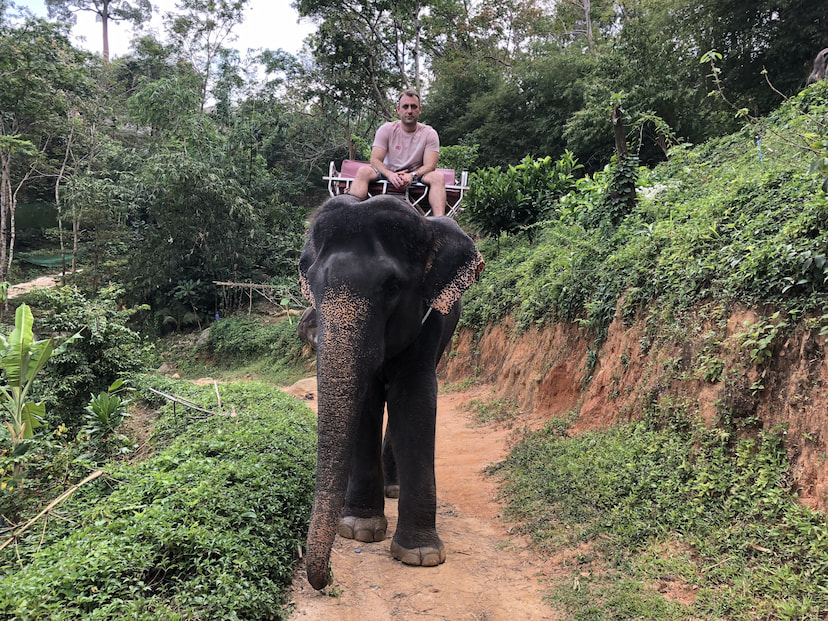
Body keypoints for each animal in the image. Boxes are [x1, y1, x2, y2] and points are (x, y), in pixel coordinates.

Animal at [298, 194, 483, 591]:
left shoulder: (430, 318)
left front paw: (420, 555)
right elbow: (366, 401)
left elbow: (414, 399)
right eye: (313, 285)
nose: (327, 579)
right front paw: (359, 530)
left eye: (392, 286)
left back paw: (394, 490)